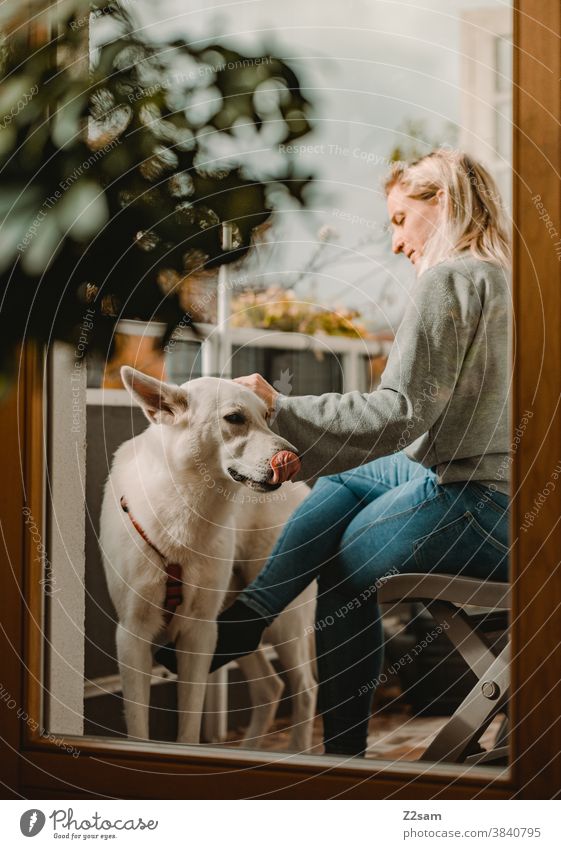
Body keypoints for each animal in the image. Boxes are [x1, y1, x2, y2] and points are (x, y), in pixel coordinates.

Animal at [99, 366, 318, 748]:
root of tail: (302, 490)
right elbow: (138, 727)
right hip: (235, 621)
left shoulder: (198, 633)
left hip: (283, 620)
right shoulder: (133, 634)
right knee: (270, 687)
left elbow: (189, 725)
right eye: (235, 418)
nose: (296, 459)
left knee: (304, 690)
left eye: (266, 417)